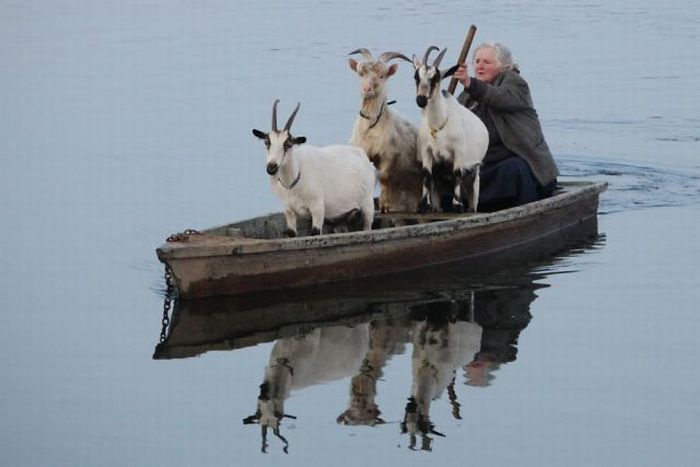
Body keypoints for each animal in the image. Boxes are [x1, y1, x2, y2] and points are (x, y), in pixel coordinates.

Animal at [253, 100, 376, 236]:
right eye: (267, 142)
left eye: (288, 144)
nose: (272, 167)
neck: (296, 177)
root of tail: (365, 159)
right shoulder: (289, 211)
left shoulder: (317, 209)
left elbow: (315, 232)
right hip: (341, 217)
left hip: (367, 206)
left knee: (367, 226)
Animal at [348, 49, 423, 213]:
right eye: (360, 74)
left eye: (382, 75)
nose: (366, 89)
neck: (370, 126)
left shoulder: (389, 156)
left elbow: (384, 177)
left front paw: (386, 204)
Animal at [411, 46, 489, 213]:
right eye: (416, 77)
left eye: (436, 78)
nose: (421, 99)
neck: (438, 125)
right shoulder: (427, 152)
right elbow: (426, 175)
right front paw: (423, 205)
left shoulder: (459, 152)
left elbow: (457, 174)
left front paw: (457, 205)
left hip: (474, 177)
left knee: (472, 201)